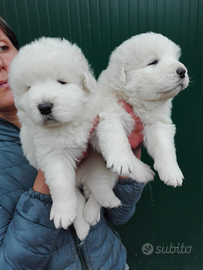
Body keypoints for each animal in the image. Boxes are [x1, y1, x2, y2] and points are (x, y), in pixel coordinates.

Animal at [8, 37, 100, 239]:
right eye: (28, 88)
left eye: (62, 82)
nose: (44, 107)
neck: (67, 123)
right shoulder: (52, 154)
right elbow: (60, 181)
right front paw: (62, 213)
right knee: (77, 194)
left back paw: (92, 211)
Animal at [80, 32, 189, 224]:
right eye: (153, 62)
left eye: (175, 59)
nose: (182, 71)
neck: (139, 101)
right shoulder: (108, 114)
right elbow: (117, 137)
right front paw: (122, 161)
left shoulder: (158, 123)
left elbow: (164, 147)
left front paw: (172, 172)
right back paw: (143, 172)